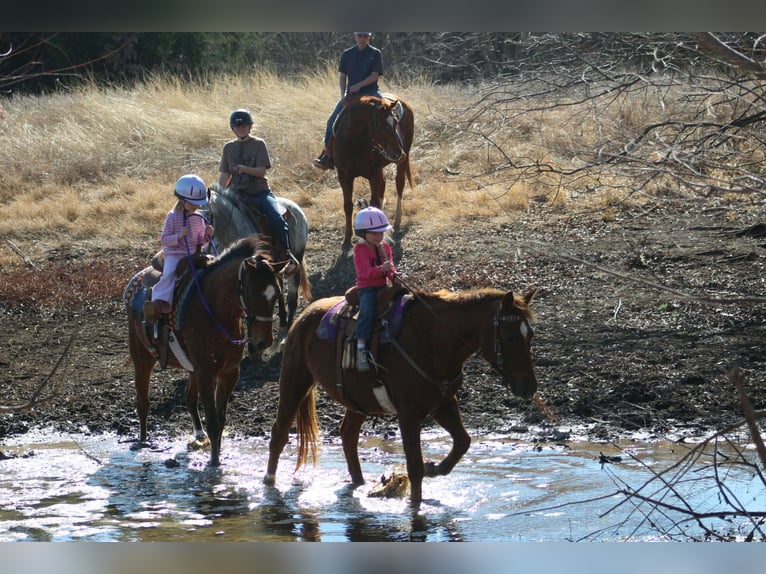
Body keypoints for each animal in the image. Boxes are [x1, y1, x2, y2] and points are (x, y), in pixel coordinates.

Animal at [124, 235, 287, 466]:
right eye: (254, 293)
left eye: (276, 295)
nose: (263, 341)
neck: (215, 312)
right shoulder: (206, 372)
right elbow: (213, 421)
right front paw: (214, 462)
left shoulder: (229, 373)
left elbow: (220, 419)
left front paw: (217, 455)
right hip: (142, 358)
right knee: (142, 402)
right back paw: (143, 442)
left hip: (191, 367)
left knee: (189, 398)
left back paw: (199, 436)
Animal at [263, 286, 538, 507]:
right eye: (511, 336)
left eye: (531, 335)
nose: (529, 387)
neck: (432, 340)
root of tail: (304, 315)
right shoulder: (409, 413)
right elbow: (414, 465)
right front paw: (416, 505)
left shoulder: (444, 403)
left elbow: (463, 442)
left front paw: (434, 468)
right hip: (295, 381)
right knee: (279, 433)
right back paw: (269, 481)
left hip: (357, 400)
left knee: (348, 434)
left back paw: (359, 482)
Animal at [332, 94, 415, 245]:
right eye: (381, 125)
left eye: (395, 122)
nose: (397, 154)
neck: (354, 144)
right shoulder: (344, 176)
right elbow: (348, 206)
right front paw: (347, 238)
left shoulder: (374, 175)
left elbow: (374, 203)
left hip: (402, 162)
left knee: (399, 185)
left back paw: (397, 221)